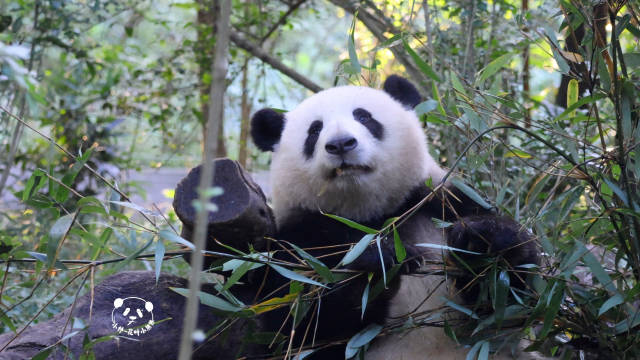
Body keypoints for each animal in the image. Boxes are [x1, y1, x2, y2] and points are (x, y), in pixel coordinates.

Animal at [249, 74, 540, 358]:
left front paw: (480, 239)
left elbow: (510, 303)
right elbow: (293, 324)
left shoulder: (437, 202)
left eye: (364, 117)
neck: (369, 214)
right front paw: (378, 260)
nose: (341, 144)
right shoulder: (300, 239)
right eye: (314, 130)